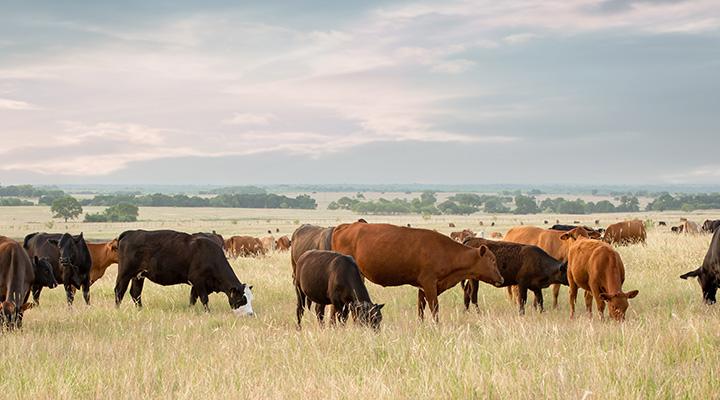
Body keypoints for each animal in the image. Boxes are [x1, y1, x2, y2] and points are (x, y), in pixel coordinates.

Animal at [114, 228, 253, 316]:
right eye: (242, 300)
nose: (250, 314)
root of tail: (130, 233)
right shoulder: (198, 280)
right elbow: (204, 299)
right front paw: (208, 313)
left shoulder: (196, 284)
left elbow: (192, 299)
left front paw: (191, 311)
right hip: (125, 274)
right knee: (119, 291)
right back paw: (117, 310)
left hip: (138, 276)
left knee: (135, 293)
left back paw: (140, 310)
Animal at [330, 222, 504, 322]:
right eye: (492, 260)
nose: (501, 279)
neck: (446, 251)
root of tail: (344, 227)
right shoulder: (429, 285)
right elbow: (434, 308)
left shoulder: (422, 288)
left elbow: (421, 308)